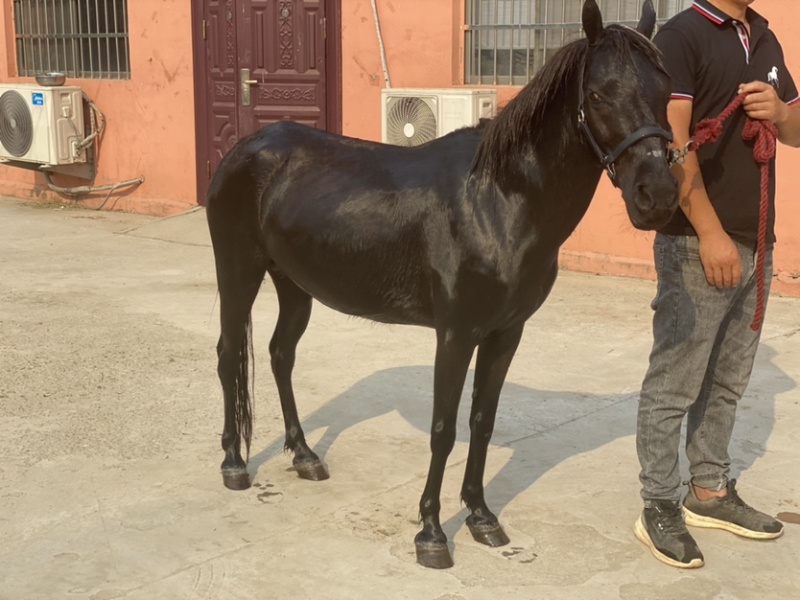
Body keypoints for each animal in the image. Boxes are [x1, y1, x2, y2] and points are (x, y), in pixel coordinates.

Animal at [205, 0, 678, 569]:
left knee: (279, 355)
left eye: (665, 91)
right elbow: (443, 429)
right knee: (230, 355)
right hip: (239, 271)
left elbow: (481, 421)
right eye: (598, 95)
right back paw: (234, 463)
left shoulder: (505, 333)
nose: (657, 196)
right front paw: (431, 532)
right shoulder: (455, 334)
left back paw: (304, 455)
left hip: (295, 284)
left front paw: (481, 516)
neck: (499, 200)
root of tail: (247, 147)